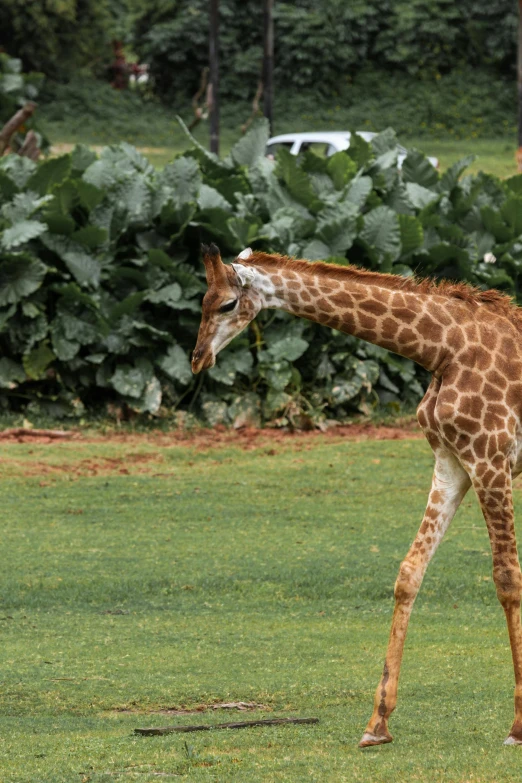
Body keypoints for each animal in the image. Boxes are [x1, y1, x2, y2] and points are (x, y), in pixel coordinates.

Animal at [190, 243, 520, 748]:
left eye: (227, 303)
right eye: (201, 301)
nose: (197, 359)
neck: (442, 348)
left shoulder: (490, 457)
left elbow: (507, 579)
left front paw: (518, 727)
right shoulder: (451, 463)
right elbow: (409, 573)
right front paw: (377, 724)